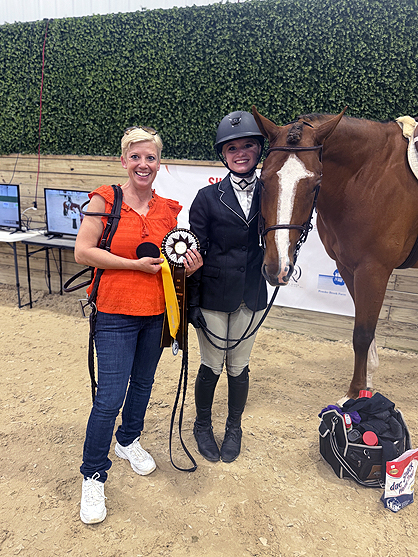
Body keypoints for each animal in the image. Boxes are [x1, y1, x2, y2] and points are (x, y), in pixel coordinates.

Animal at [252, 105, 418, 401]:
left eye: (314, 183)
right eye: (263, 179)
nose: (277, 268)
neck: (368, 176)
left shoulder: (373, 270)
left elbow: (362, 333)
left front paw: (354, 394)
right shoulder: (347, 266)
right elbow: (367, 331)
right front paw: (366, 386)